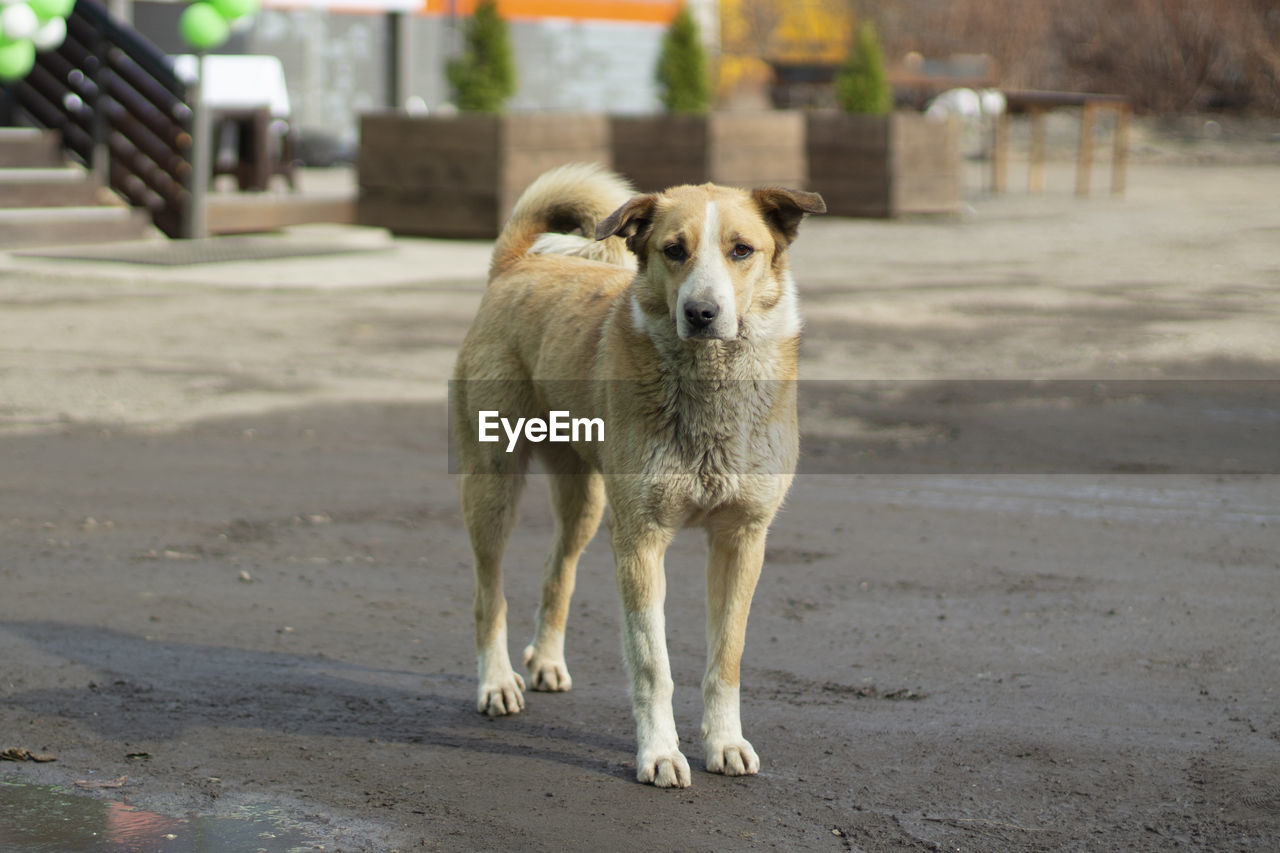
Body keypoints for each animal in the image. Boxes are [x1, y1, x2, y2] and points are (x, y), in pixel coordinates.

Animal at [455, 162, 824, 788]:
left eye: (742, 250)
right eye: (673, 250)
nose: (701, 313)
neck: (708, 388)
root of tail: (516, 265)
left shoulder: (743, 538)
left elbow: (726, 656)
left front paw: (725, 743)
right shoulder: (640, 539)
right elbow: (653, 663)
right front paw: (660, 755)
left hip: (585, 500)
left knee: (559, 569)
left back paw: (546, 661)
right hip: (493, 485)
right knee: (488, 593)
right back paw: (498, 683)